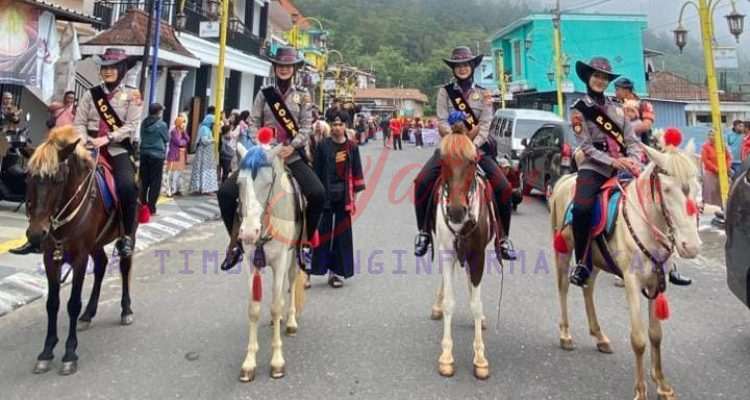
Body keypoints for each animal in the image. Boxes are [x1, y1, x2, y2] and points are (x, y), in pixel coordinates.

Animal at [25, 126, 135, 376]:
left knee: (124, 267)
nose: (36, 234)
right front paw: (47, 351)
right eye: (30, 178)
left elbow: (72, 304)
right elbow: (52, 303)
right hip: (95, 243)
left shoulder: (79, 257)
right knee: (102, 265)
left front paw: (69, 353)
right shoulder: (51, 257)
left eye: (57, 179)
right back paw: (88, 314)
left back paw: (125, 310)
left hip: (129, 232)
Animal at [234, 141, 307, 382]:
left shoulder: (281, 258)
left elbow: (275, 307)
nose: (248, 232)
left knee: (291, 281)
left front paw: (277, 361)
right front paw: (249, 362)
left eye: (268, 183)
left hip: (293, 255)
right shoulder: (251, 262)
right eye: (239, 183)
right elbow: (253, 308)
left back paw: (290, 321)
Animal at [428, 129, 494, 380]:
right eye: (443, 161)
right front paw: (446, 357)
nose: (456, 211)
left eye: (473, 161)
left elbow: (476, 304)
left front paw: (480, 358)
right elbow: (449, 302)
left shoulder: (478, 256)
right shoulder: (447, 253)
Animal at [549, 142, 700, 400]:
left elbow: (656, 335)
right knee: (563, 288)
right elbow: (638, 339)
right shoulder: (632, 281)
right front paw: (640, 390)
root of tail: (566, 179)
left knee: (588, 287)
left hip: (594, 259)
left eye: (697, 185)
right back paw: (565, 334)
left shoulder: (657, 282)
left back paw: (599, 336)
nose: (691, 247)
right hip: (564, 249)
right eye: (667, 189)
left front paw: (662, 384)